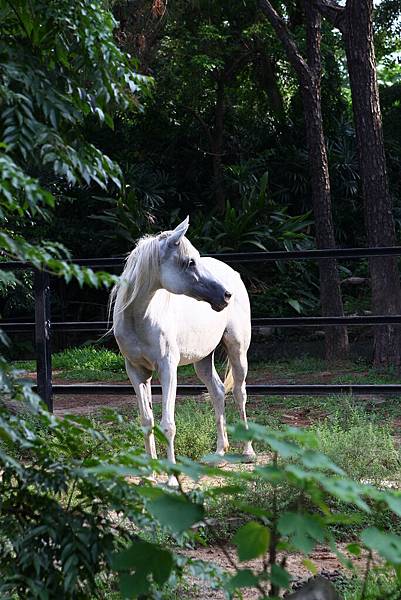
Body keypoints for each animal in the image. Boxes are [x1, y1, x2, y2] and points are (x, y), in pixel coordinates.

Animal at [110, 217, 253, 482]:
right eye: (190, 262)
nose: (225, 295)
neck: (140, 318)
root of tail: (234, 275)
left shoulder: (168, 369)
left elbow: (168, 424)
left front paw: (170, 477)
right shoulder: (136, 372)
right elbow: (146, 421)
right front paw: (149, 474)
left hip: (238, 350)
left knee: (240, 392)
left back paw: (248, 452)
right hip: (203, 359)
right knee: (218, 392)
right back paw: (219, 453)